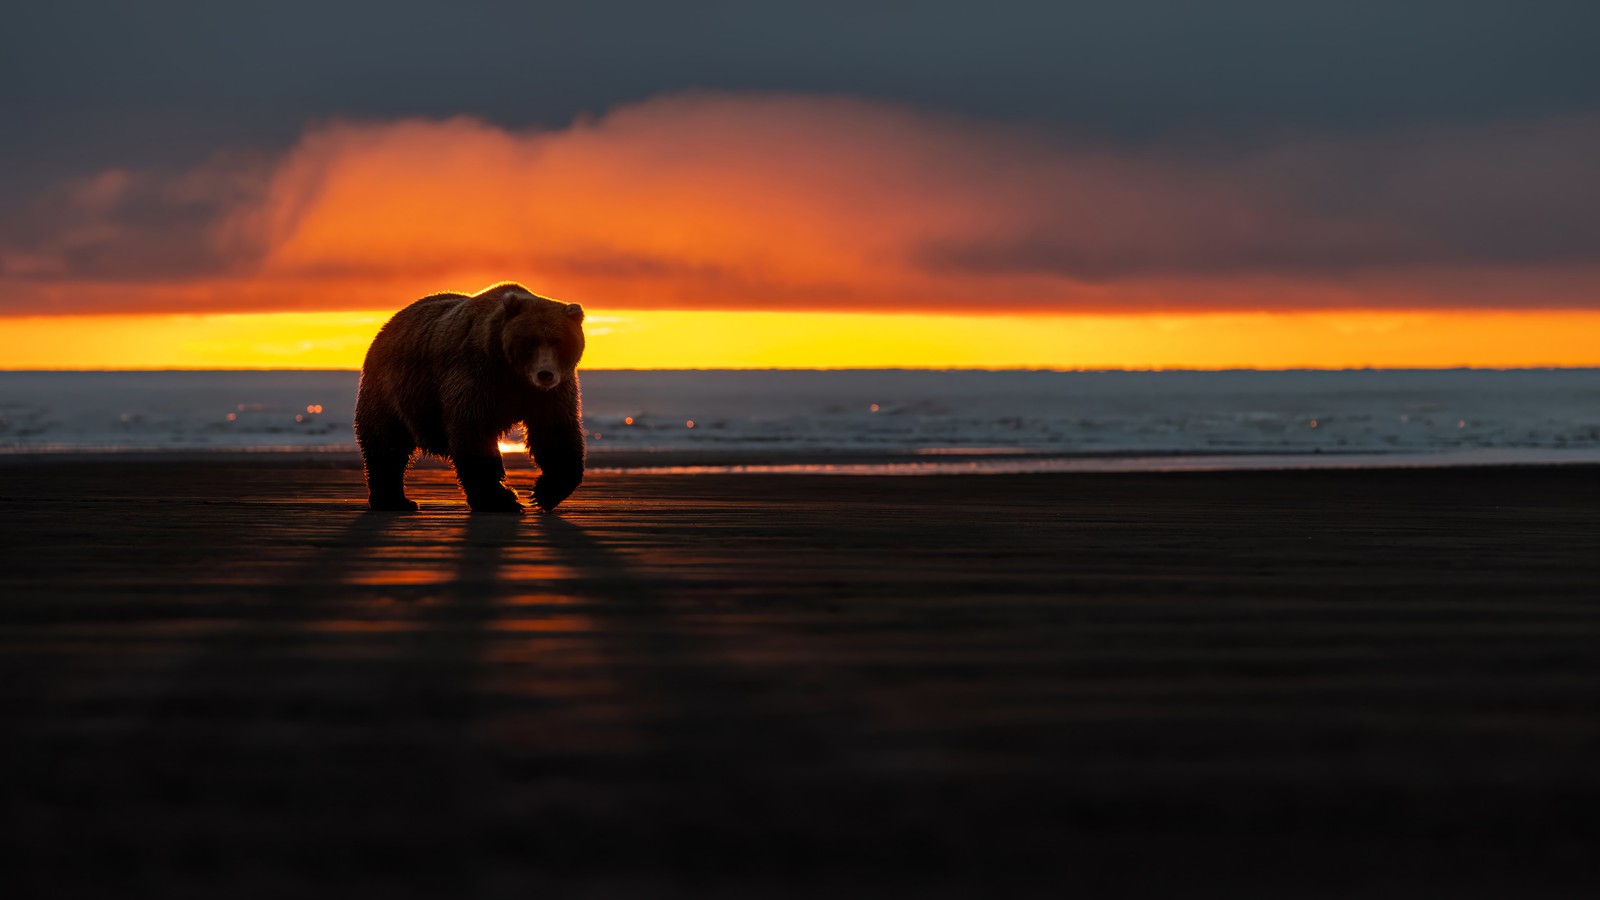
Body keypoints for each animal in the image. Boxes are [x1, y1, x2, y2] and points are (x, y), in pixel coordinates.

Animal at [356, 283, 588, 515]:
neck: (513, 373)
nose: (545, 374)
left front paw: (544, 493)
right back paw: (392, 501)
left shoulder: (549, 392)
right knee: (386, 442)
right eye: (530, 342)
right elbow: (474, 430)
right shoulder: (476, 376)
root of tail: (389, 324)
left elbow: (554, 431)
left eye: (559, 342)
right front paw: (501, 500)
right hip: (389, 387)